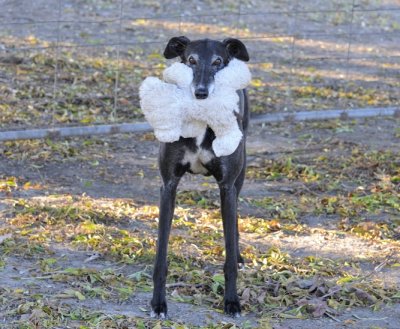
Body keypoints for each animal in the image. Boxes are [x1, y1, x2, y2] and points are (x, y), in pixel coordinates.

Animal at [151, 36, 248, 318]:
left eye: (218, 61)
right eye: (191, 60)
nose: (201, 93)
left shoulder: (226, 186)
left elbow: (229, 258)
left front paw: (232, 301)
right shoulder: (168, 186)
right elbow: (161, 254)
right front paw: (158, 303)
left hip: (240, 177)